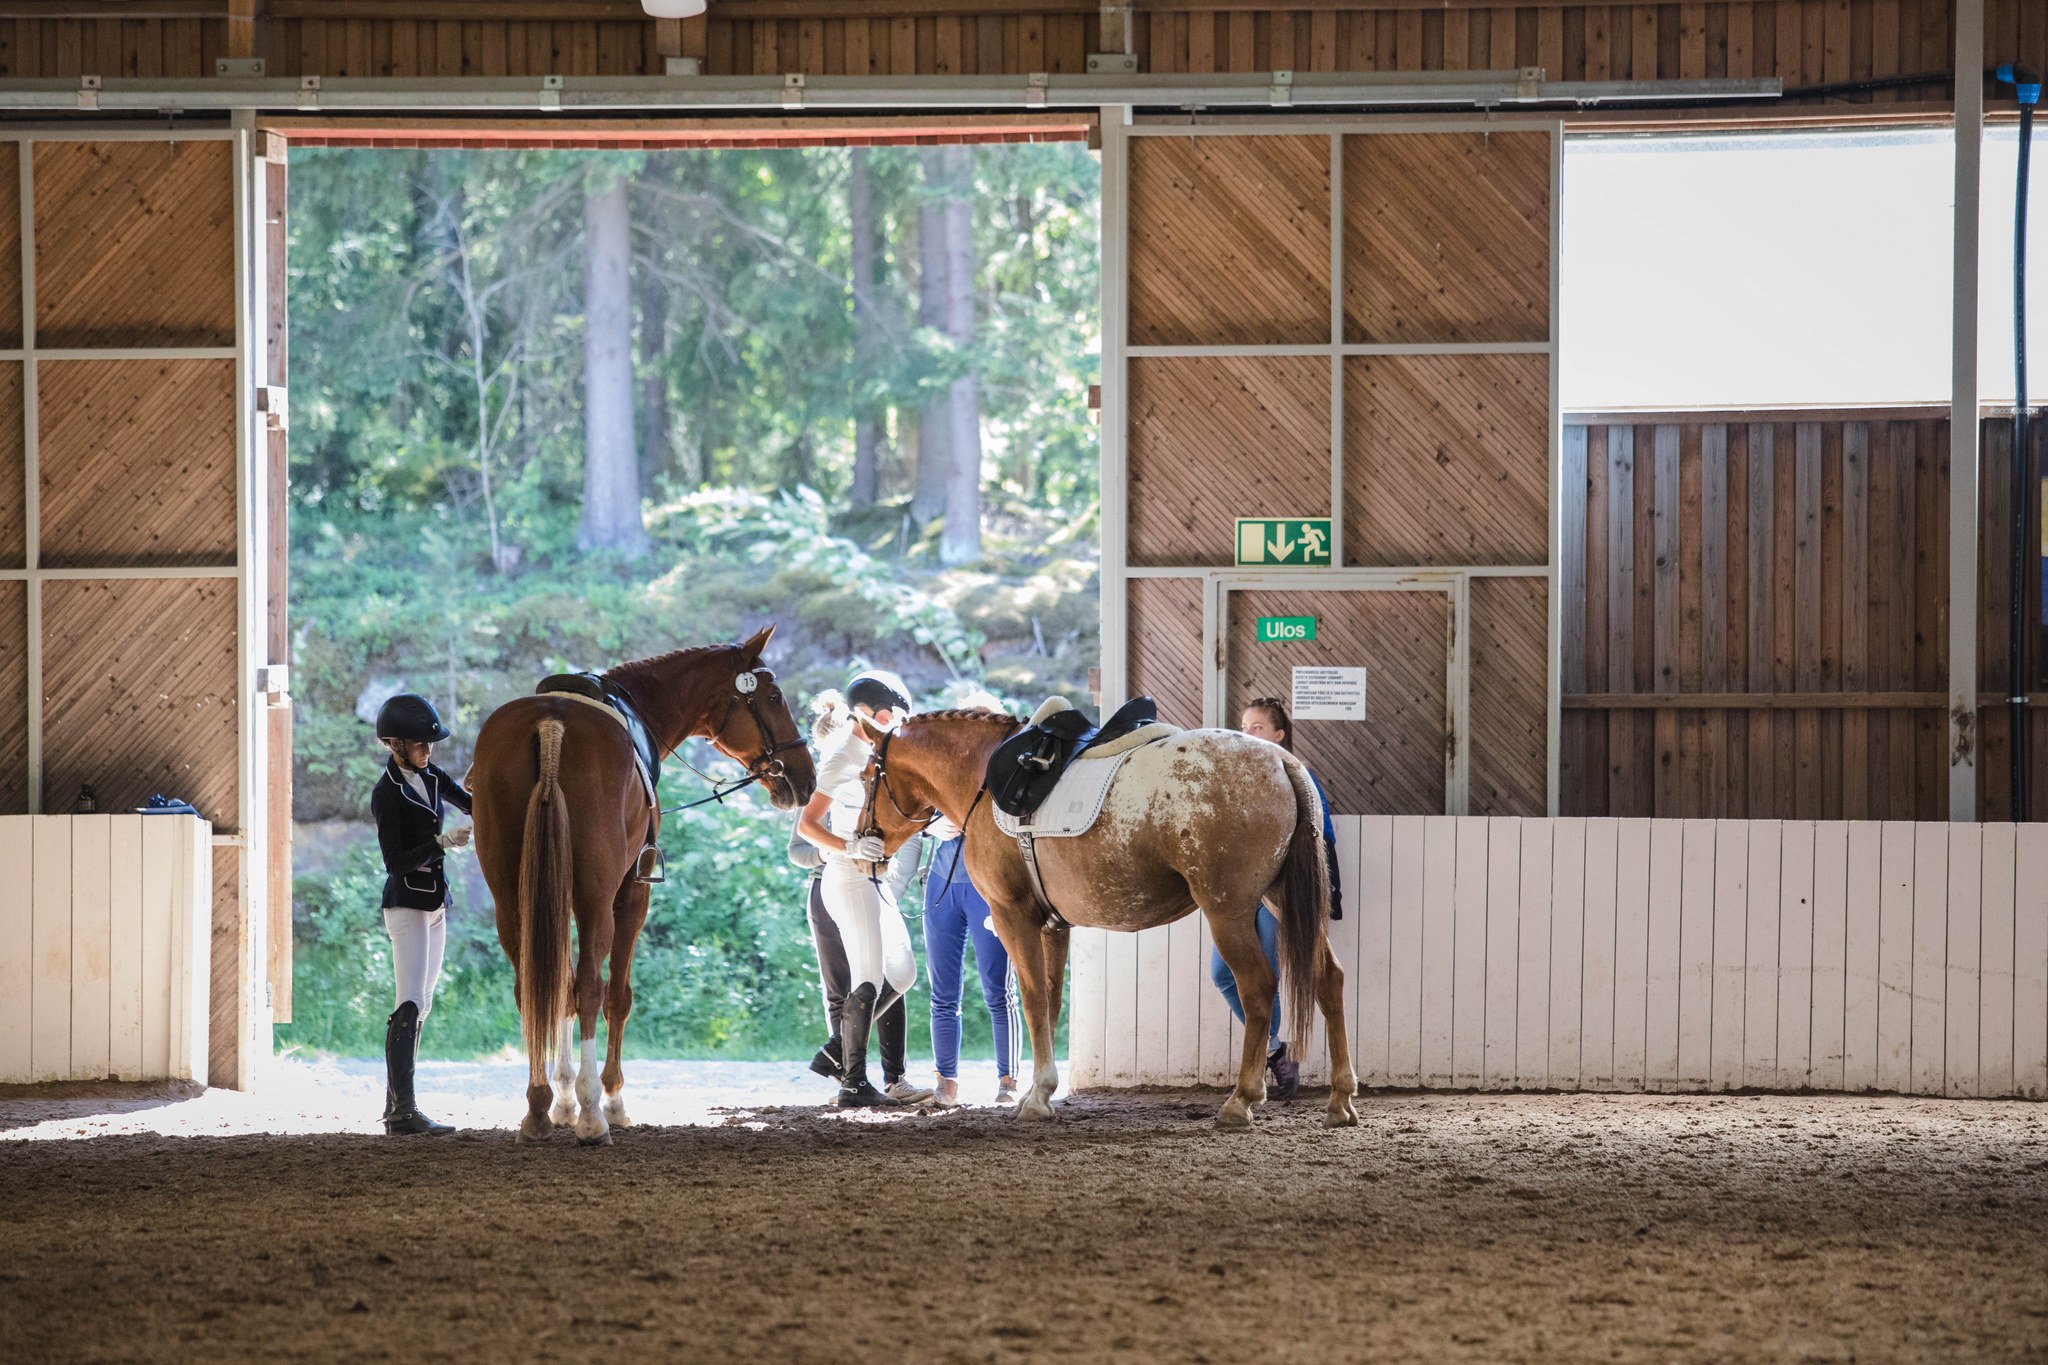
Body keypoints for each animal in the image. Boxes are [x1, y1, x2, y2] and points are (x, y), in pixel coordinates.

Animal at [468, 630, 811, 1146]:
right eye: (773, 697)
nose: (805, 776)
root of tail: (551, 726)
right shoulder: (630, 894)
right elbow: (616, 995)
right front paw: (608, 1098)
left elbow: (559, 988)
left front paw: (562, 1099)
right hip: (597, 895)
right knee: (592, 987)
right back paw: (594, 1112)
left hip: (512, 896)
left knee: (533, 986)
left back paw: (538, 1105)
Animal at [851, 712, 1351, 1129]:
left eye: (864, 777)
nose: (860, 846)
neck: (983, 777)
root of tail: (1281, 760)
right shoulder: (1051, 926)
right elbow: (1050, 1003)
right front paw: (1037, 1092)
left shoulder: (1012, 916)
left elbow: (1032, 1000)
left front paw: (1037, 1099)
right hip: (1277, 900)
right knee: (1328, 979)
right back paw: (1341, 1099)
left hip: (1228, 911)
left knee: (1258, 989)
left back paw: (1241, 1100)